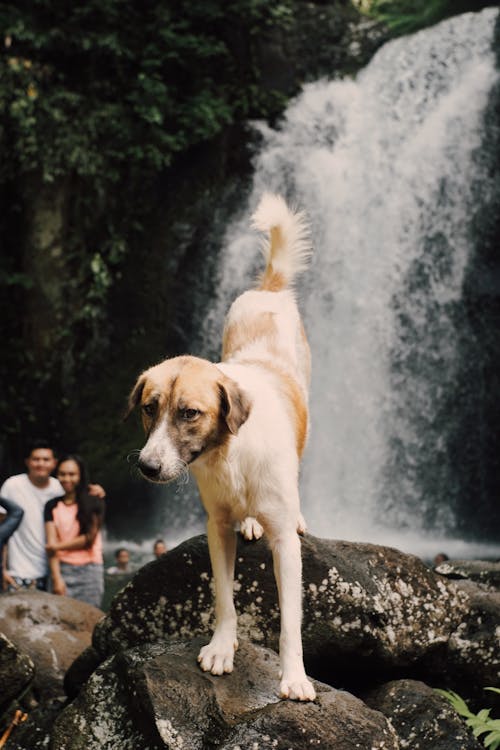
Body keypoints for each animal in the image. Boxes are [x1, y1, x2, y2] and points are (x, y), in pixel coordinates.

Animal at [129, 195, 316, 704]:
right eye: (150, 408)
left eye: (190, 413)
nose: (147, 467)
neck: (230, 456)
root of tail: (268, 291)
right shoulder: (216, 527)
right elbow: (223, 596)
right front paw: (220, 647)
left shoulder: (284, 546)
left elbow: (290, 622)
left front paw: (294, 677)